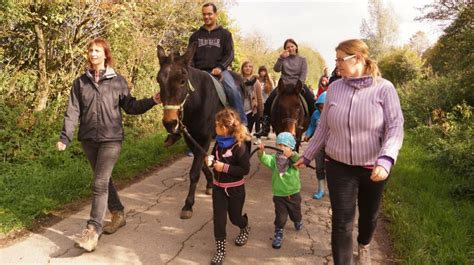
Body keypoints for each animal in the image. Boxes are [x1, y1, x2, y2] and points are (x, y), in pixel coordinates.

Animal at [157, 43, 244, 219]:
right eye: (159, 81)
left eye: (182, 81)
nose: (170, 123)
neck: (198, 101)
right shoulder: (191, 138)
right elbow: (202, 161)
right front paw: (210, 182)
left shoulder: (204, 137)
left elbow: (194, 172)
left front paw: (188, 205)